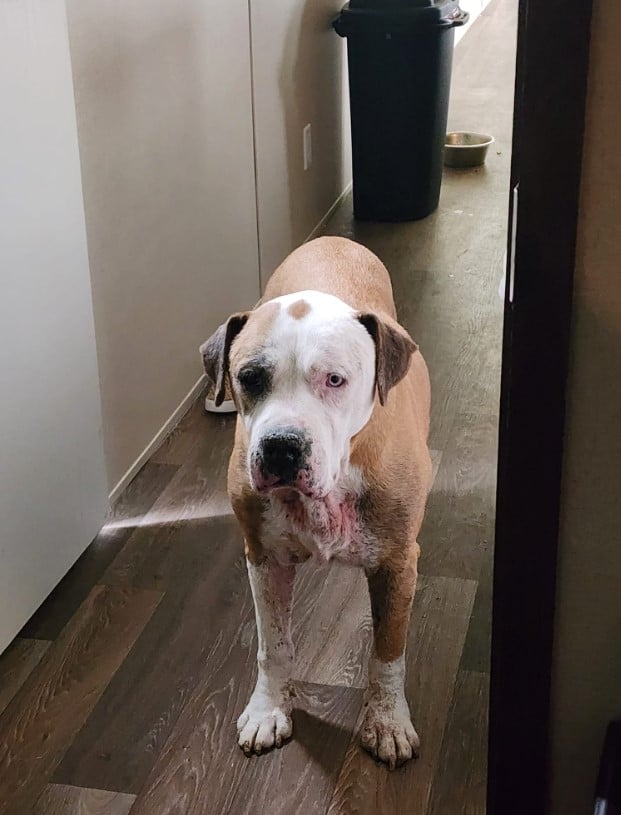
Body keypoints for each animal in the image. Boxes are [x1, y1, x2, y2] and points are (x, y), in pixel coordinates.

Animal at [200, 236, 432, 772]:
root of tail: (333, 239)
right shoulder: (263, 558)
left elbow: (388, 650)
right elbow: (273, 645)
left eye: (335, 380)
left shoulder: (397, 564)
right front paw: (268, 709)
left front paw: (387, 721)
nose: (282, 446)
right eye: (249, 377)